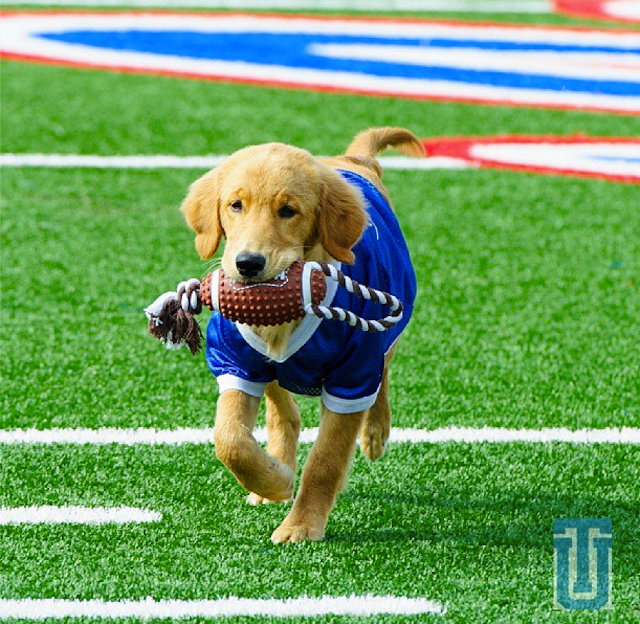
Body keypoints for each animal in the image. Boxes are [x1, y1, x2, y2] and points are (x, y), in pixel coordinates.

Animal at [181, 127, 420, 540]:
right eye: (235, 205)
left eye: (288, 211)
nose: (248, 264)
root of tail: (355, 160)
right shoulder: (236, 363)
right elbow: (230, 441)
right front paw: (274, 480)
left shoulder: (351, 378)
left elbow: (325, 460)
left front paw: (302, 524)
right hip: (269, 366)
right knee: (284, 414)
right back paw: (277, 468)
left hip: (388, 326)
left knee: (384, 372)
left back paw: (375, 432)